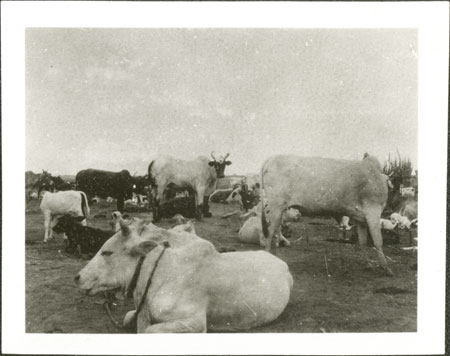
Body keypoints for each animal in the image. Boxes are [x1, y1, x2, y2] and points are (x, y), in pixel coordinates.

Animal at [75, 218, 294, 332]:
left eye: (107, 252)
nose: (77, 277)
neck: (157, 274)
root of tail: (280, 262)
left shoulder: (195, 322)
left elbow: (148, 330)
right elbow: (129, 317)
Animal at [260, 153, 394, 276]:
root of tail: (270, 159)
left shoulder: (360, 218)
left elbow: (363, 241)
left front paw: (369, 265)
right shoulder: (373, 211)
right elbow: (378, 241)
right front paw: (386, 268)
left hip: (279, 211)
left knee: (275, 233)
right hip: (275, 207)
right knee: (269, 234)